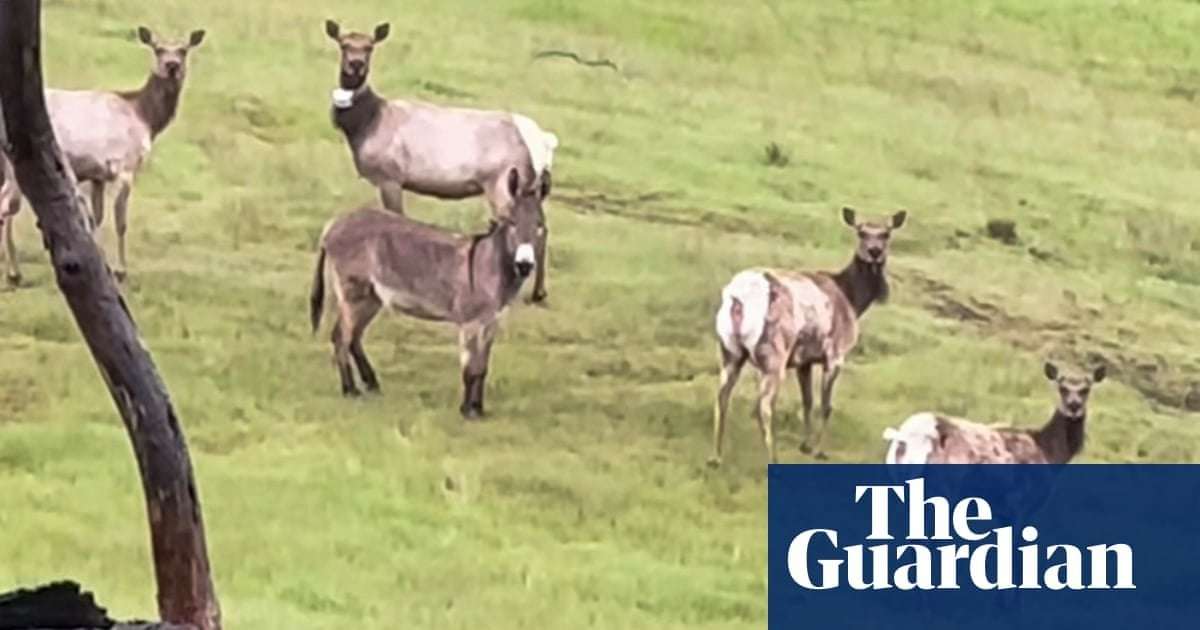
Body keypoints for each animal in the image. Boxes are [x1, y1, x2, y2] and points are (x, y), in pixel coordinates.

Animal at [1, 26, 205, 285]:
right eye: (158, 49)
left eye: (183, 50)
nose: (172, 66)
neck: (145, 118)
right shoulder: (125, 166)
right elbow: (120, 221)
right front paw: (120, 271)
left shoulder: (97, 175)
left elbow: (96, 219)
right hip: (15, 164)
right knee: (6, 207)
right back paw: (13, 273)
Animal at [309, 167, 548, 418]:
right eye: (512, 223)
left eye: (540, 225)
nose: (524, 265)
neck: (491, 265)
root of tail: (333, 225)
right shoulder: (471, 323)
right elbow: (470, 369)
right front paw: (467, 411)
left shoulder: (491, 323)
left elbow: (482, 368)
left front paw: (478, 409)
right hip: (354, 294)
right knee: (341, 337)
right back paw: (351, 390)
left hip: (371, 297)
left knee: (353, 337)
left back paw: (371, 384)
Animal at [324, 19, 559, 303]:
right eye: (344, 44)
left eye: (369, 47)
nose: (356, 64)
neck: (366, 124)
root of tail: (545, 141)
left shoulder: (391, 176)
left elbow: (397, 216)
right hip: (530, 185)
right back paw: (539, 290)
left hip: (503, 182)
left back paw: (534, 290)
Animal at [709, 207, 907, 466]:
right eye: (861, 232)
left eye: (886, 233)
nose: (875, 252)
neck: (853, 299)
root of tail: (738, 298)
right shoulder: (835, 354)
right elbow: (826, 405)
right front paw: (818, 451)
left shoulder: (805, 360)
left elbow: (807, 401)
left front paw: (805, 444)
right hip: (774, 355)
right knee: (764, 406)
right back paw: (773, 458)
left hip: (729, 350)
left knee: (722, 396)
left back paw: (715, 457)